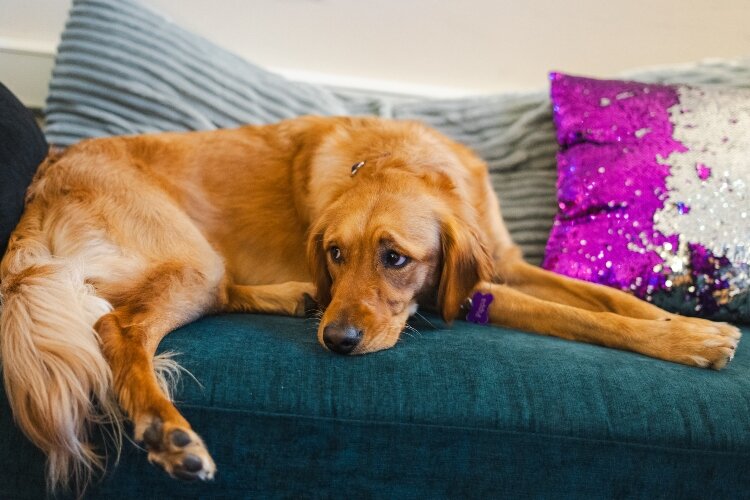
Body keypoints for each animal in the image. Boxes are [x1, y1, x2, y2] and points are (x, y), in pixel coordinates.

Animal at [0, 116, 740, 492]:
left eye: (395, 258)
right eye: (334, 252)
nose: (338, 341)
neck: (402, 159)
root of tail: (45, 177)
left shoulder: (505, 262)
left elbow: (602, 294)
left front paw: (679, 319)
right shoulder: (482, 291)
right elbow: (579, 316)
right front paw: (695, 341)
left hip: (203, 268)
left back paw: (288, 297)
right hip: (190, 260)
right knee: (117, 325)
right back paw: (168, 432)